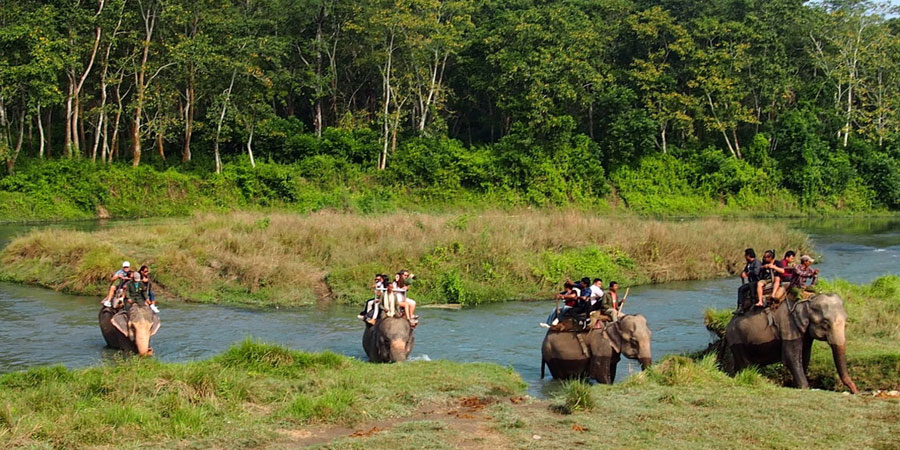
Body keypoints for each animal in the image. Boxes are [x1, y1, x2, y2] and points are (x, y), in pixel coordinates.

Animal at [724, 294, 856, 392]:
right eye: (825, 323)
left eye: (846, 320)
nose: (855, 391)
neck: (807, 301)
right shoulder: (788, 325)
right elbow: (790, 357)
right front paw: (804, 388)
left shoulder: (805, 334)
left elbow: (805, 356)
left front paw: (795, 385)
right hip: (736, 339)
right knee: (745, 364)